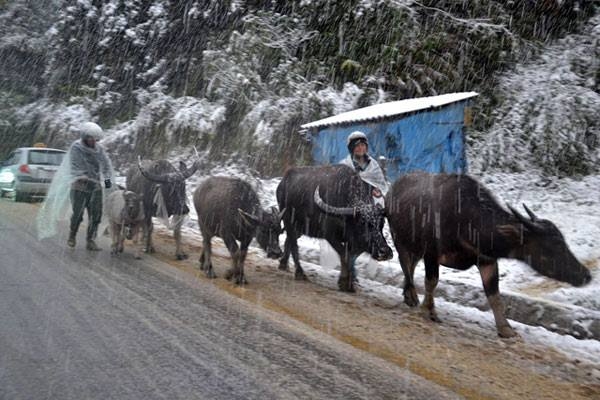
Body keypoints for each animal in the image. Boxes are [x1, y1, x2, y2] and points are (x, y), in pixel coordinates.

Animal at [276, 164, 394, 292]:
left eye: (382, 223)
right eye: (363, 223)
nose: (385, 251)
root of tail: (282, 182)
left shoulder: (355, 243)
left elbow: (351, 257)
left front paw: (350, 281)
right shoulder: (330, 236)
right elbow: (344, 255)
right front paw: (345, 283)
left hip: (300, 227)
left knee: (288, 240)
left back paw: (283, 264)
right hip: (288, 220)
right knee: (293, 244)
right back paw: (299, 273)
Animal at [384, 173, 592, 340]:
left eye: (563, 242)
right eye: (551, 247)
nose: (586, 275)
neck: (467, 221)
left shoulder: (487, 261)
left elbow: (494, 294)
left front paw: (506, 329)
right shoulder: (431, 254)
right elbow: (431, 282)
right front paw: (429, 310)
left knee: (410, 267)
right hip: (399, 240)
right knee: (405, 264)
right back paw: (411, 296)